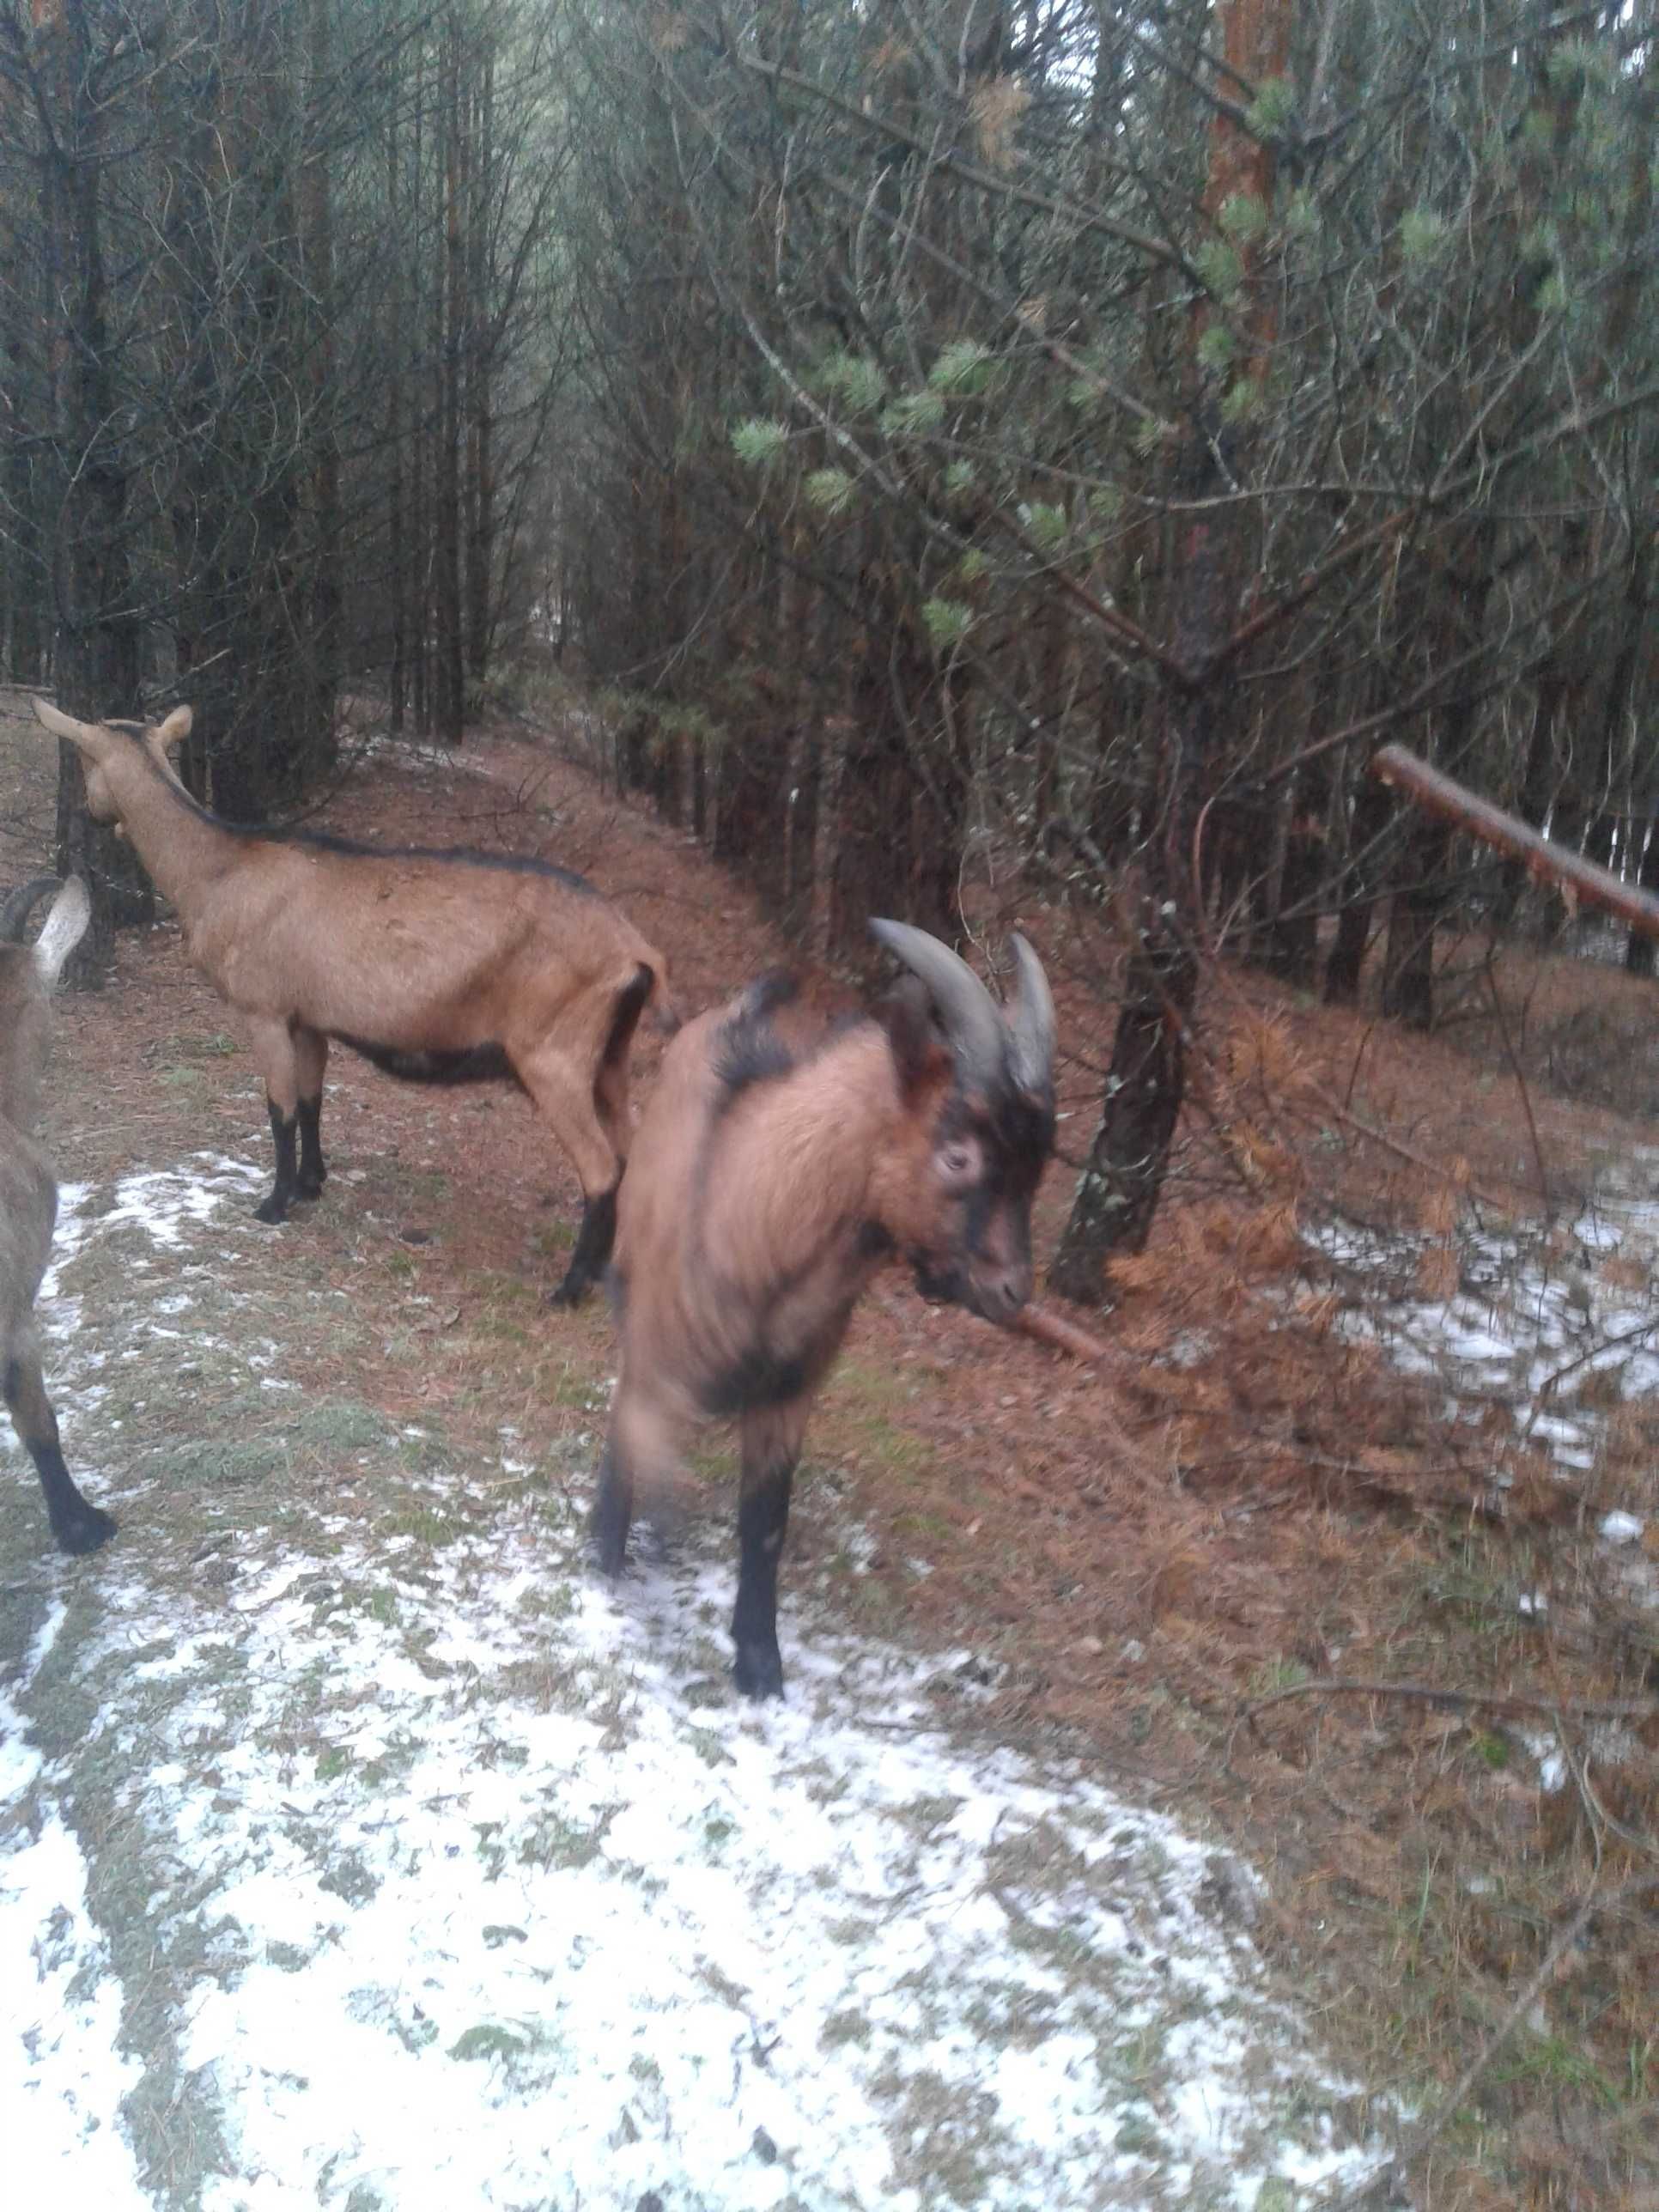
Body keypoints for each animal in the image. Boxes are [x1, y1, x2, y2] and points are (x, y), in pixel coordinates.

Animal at [29, 699, 677, 1300]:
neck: (215, 872)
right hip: (609, 1056)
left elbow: (281, 1109)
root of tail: (638, 954)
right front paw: (312, 1183)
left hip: (553, 1053)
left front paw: (274, 1204)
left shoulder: (263, 1008)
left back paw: (569, 1288)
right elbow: (313, 1099)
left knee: (600, 1168)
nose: (88, 812)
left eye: (83, 759)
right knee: (631, 1155)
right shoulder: (308, 1016)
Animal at [597, 915, 1057, 1690]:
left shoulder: (789, 1392)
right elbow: (651, 1472)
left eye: (1038, 1171)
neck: (752, 1210)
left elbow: (766, 1521)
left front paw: (759, 1663)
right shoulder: (662, 1363)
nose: (1010, 1292)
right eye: (958, 1154)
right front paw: (613, 1565)